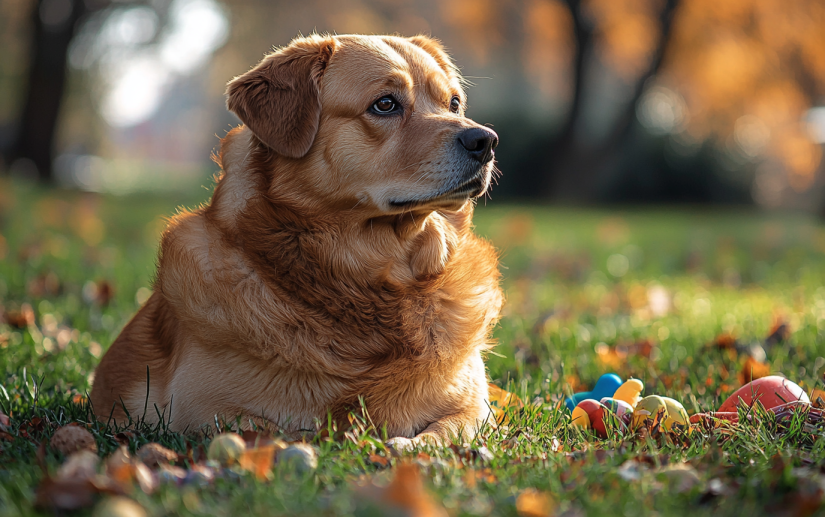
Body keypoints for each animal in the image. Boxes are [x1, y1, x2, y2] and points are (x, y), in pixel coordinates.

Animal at [90, 34, 502, 446]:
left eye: (453, 103)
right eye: (385, 104)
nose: (485, 141)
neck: (368, 286)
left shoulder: (476, 407)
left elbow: (446, 431)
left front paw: (405, 446)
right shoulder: (199, 412)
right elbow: (281, 433)